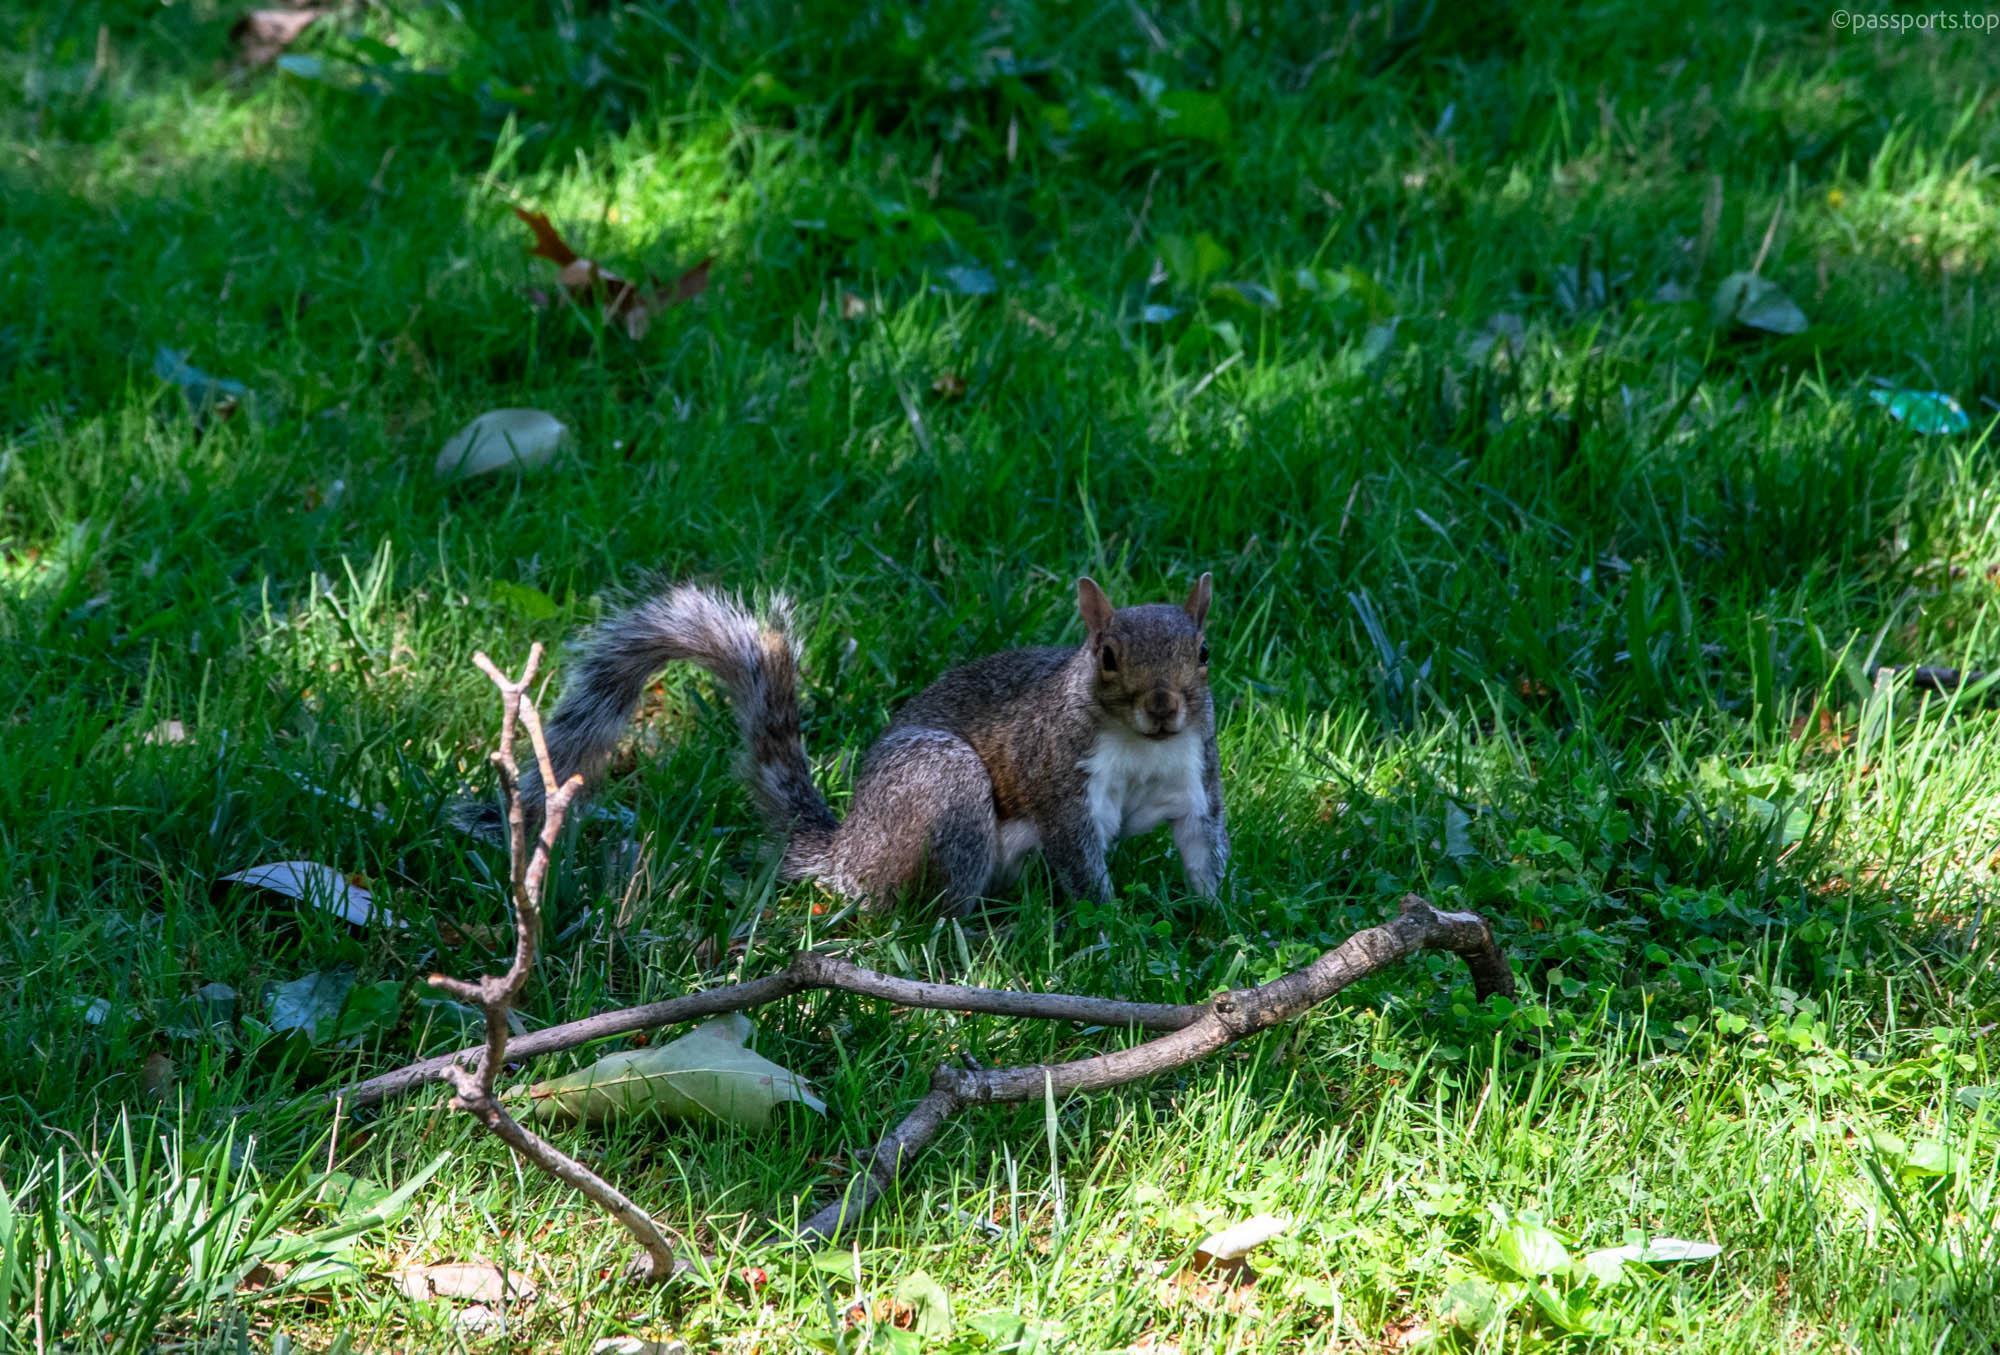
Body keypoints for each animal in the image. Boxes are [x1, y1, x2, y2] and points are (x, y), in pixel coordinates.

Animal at [507, 575, 1229, 911]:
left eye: (1203, 652)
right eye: (1107, 657)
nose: (1163, 708)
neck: (1140, 745)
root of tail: (850, 849)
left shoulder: (1196, 774)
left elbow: (1204, 844)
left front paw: (1219, 917)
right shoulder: (1061, 779)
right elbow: (1079, 857)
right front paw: (1111, 920)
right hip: (941, 782)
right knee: (933, 903)